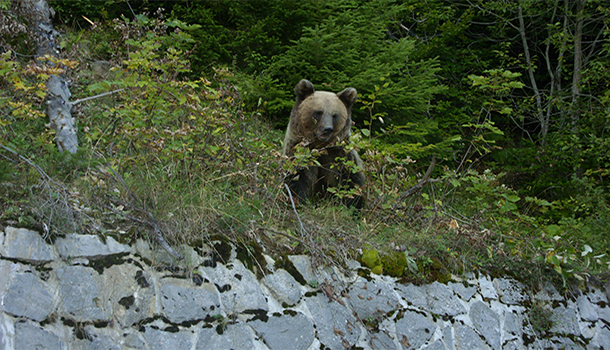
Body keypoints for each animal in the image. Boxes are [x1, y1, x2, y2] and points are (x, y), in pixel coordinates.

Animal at [282, 79, 364, 208]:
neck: (320, 146)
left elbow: (351, 181)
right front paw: (298, 200)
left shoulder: (340, 154)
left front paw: (352, 206)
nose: (327, 129)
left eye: (335, 115)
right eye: (319, 112)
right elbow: (298, 177)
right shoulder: (299, 150)